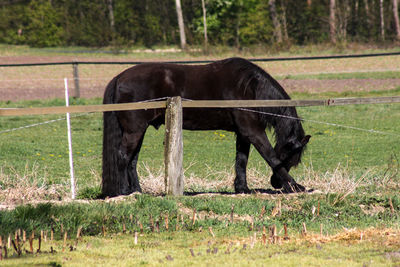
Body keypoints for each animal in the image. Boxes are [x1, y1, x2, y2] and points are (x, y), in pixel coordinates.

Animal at [101, 58, 310, 197]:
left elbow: (241, 161)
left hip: (138, 131)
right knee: (123, 157)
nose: (276, 184)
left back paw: (136, 191)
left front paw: (242, 189)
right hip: (134, 131)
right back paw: (123, 192)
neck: (249, 88)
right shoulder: (253, 132)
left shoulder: (243, 135)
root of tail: (119, 78)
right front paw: (295, 186)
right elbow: (270, 156)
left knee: (132, 160)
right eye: (291, 156)